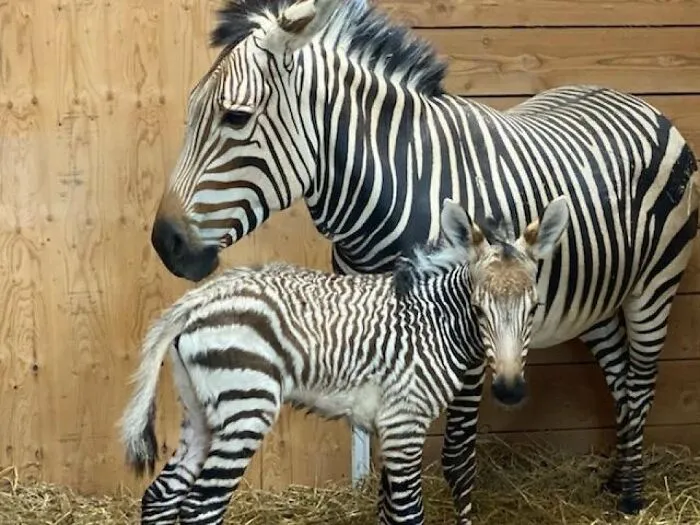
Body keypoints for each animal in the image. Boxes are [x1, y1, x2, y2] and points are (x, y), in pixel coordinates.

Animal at [121, 196, 571, 525]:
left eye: (534, 308)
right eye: (478, 309)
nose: (509, 391)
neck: (434, 320)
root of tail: (195, 300)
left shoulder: (391, 426)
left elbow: (388, 512)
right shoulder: (404, 422)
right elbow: (409, 515)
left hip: (201, 412)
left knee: (161, 496)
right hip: (245, 407)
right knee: (201, 508)